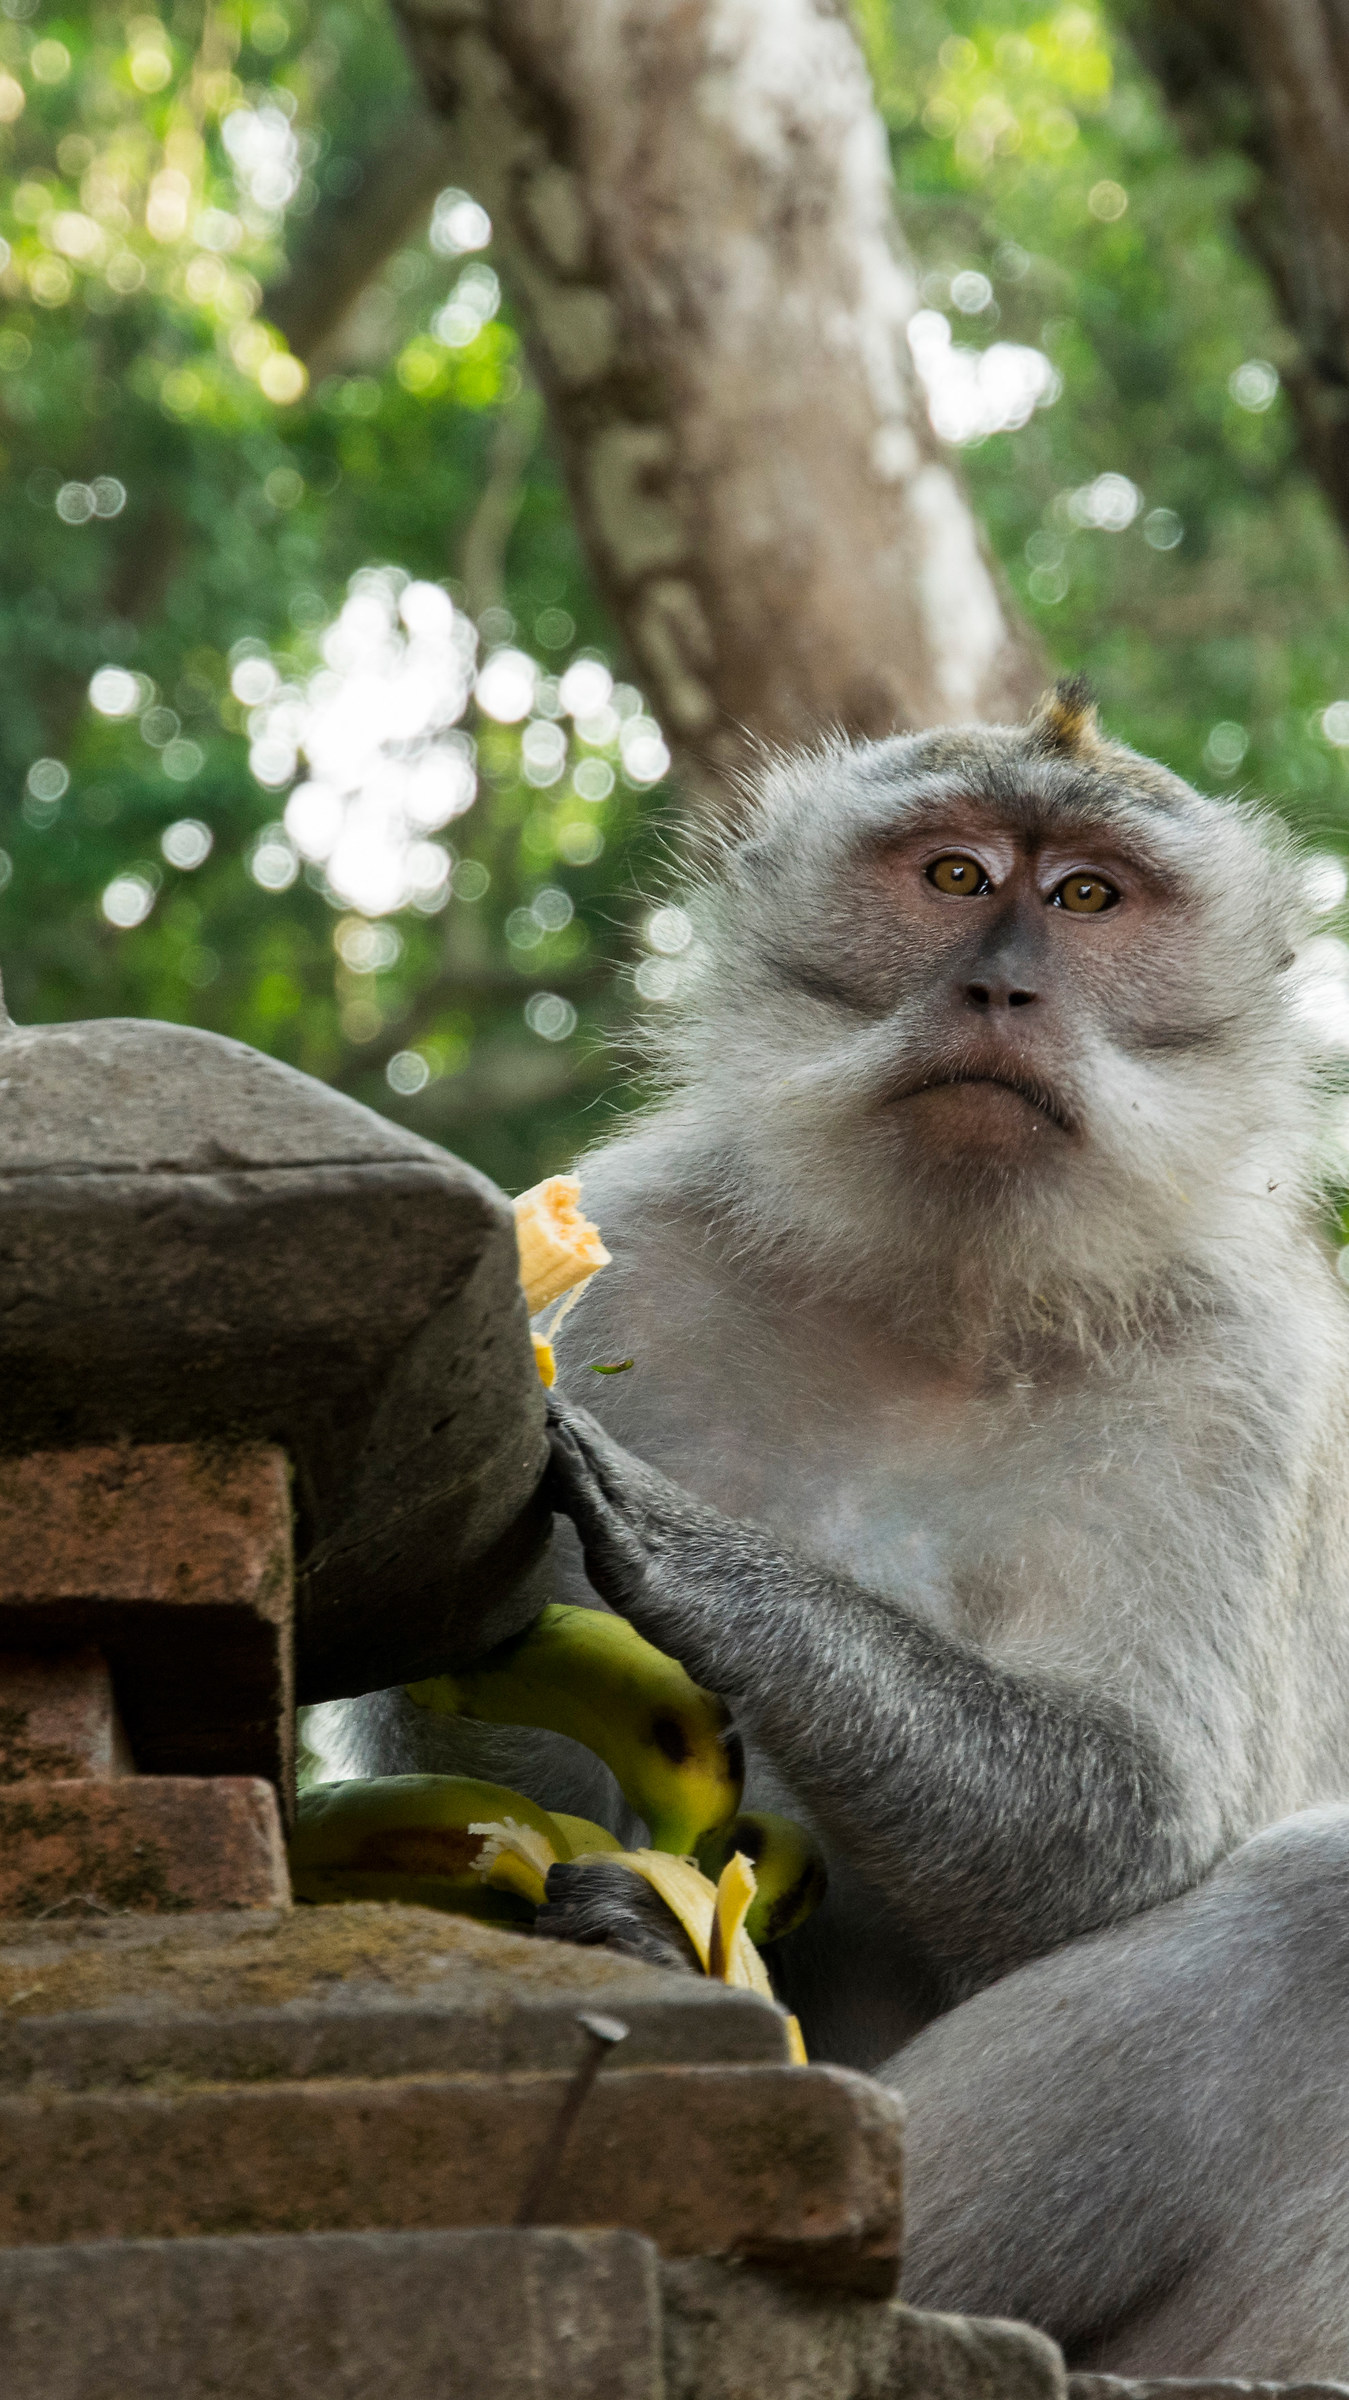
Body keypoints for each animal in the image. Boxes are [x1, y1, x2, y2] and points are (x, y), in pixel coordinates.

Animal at [318, 682, 1349, 2377]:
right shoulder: (642, 1240)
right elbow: (502, 1789)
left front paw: (707, 1566)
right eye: (952, 876)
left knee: (1308, 1903)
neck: (938, 1300)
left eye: (1089, 898)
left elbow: (1137, 1819)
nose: (1001, 984)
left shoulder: (1237, 1370)